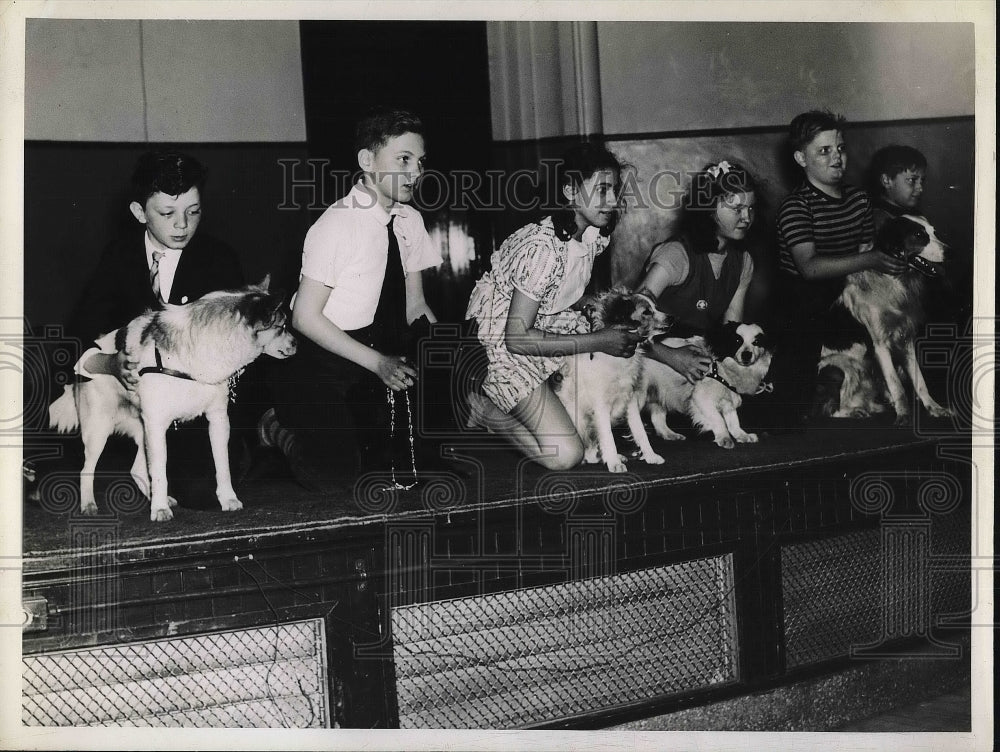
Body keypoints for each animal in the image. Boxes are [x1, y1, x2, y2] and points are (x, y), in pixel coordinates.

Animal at [49, 280, 296, 520]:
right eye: (282, 326)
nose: (297, 343)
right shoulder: (157, 425)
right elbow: (160, 472)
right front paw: (159, 511)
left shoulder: (217, 419)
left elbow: (222, 466)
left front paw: (228, 499)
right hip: (99, 431)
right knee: (86, 470)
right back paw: (89, 505)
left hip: (142, 431)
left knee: (137, 469)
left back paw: (160, 499)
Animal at [556, 288, 672, 470]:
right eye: (646, 312)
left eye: (655, 307)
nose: (671, 318)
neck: (619, 360)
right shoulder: (600, 406)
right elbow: (608, 436)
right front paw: (613, 463)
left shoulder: (630, 400)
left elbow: (640, 431)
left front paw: (650, 456)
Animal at [644, 322, 776, 450]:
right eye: (738, 341)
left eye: (756, 342)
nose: (746, 354)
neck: (723, 369)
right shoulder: (702, 398)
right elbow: (719, 419)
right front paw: (724, 437)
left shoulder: (728, 399)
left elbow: (734, 421)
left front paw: (742, 435)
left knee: (657, 420)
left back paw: (669, 434)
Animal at [820, 214, 952, 426]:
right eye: (918, 235)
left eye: (934, 231)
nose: (950, 252)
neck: (892, 281)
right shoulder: (880, 345)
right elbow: (896, 384)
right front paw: (904, 415)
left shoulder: (906, 340)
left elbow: (919, 381)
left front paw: (934, 408)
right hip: (840, 366)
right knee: (828, 408)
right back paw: (854, 412)